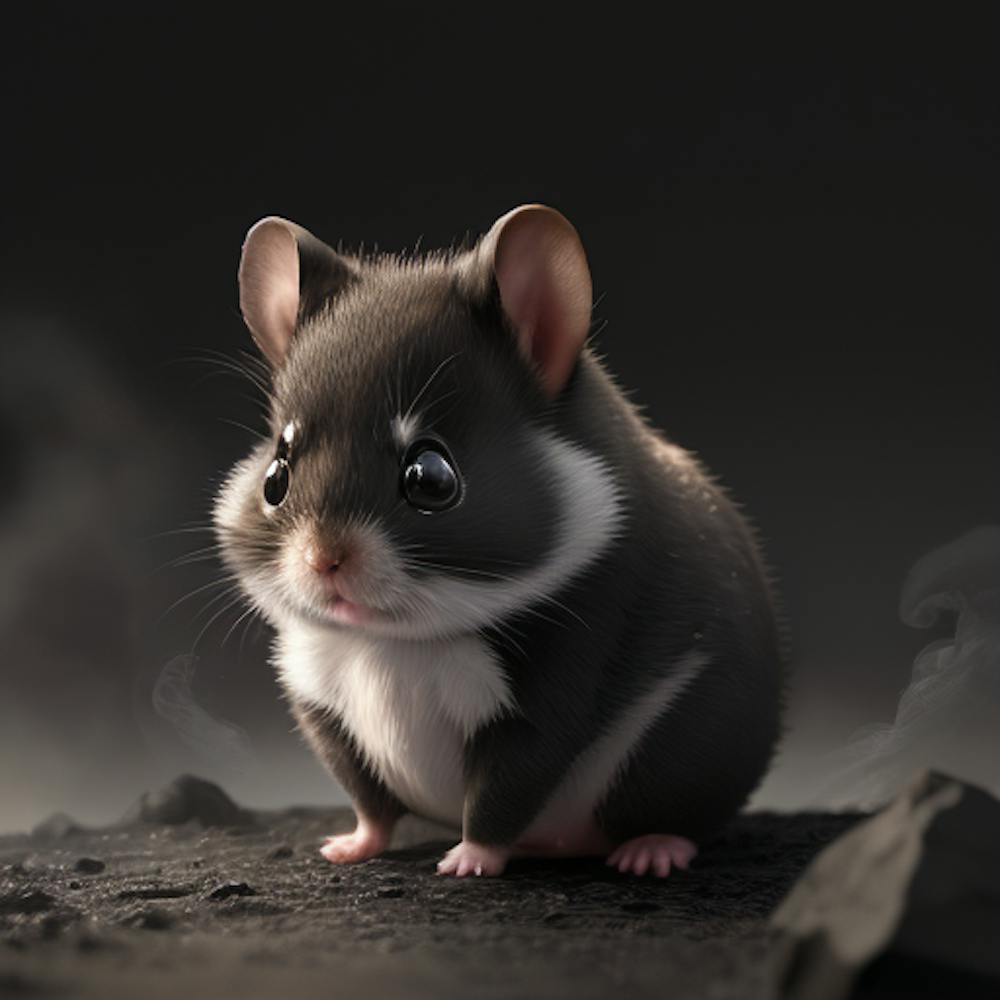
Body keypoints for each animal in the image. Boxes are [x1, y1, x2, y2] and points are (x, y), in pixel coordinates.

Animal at [214, 205, 784, 878]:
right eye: (275, 477)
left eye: (431, 477)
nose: (322, 560)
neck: (394, 645)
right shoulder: (320, 703)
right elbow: (368, 799)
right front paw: (347, 847)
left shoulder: (550, 697)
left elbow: (501, 793)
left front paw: (468, 862)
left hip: (679, 753)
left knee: (674, 817)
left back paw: (649, 852)